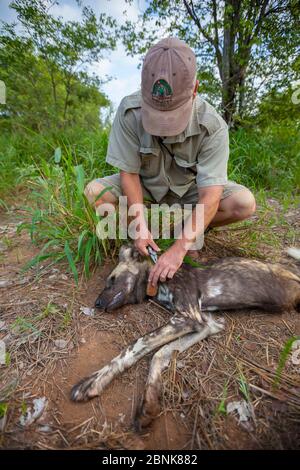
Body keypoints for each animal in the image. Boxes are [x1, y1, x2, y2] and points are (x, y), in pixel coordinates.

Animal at [72, 246, 300, 430]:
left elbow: (138, 344)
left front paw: (94, 381)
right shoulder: (205, 325)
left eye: (112, 281)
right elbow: (159, 354)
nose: (96, 304)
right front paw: (149, 404)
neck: (156, 281)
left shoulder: (187, 318)